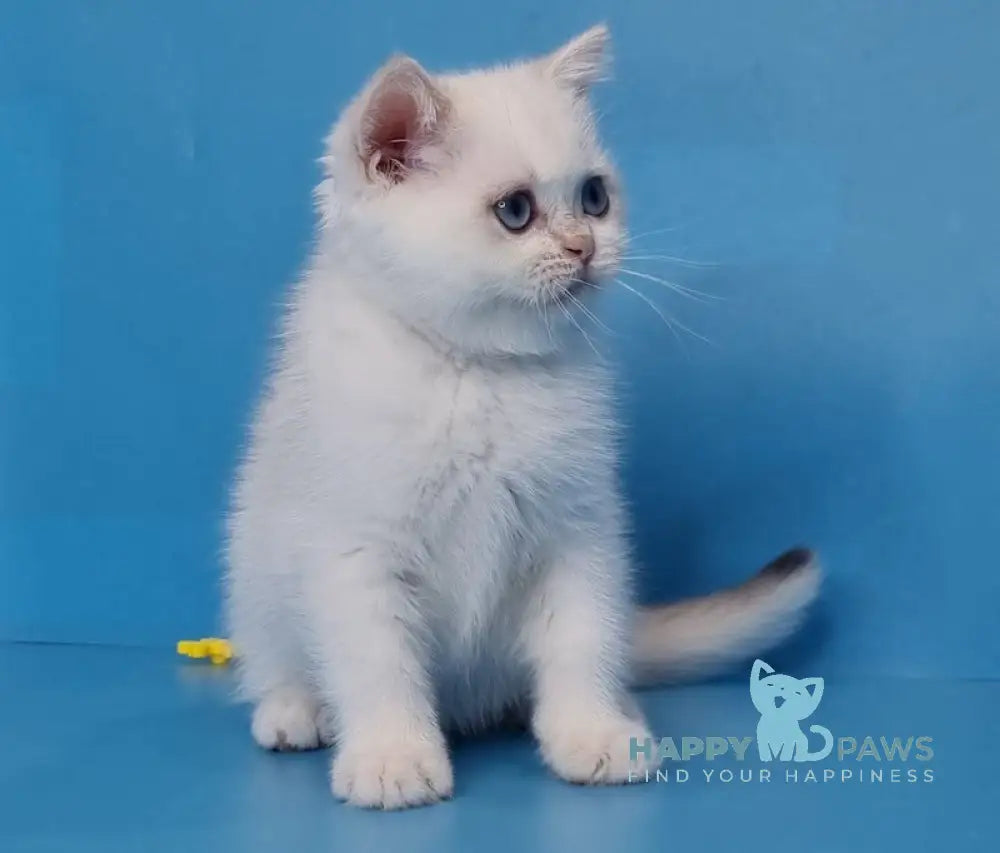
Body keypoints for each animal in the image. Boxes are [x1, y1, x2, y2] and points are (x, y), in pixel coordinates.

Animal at [227, 26, 820, 808]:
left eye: (594, 197)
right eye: (516, 210)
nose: (586, 248)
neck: (480, 372)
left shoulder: (577, 531)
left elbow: (581, 639)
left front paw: (590, 732)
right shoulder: (355, 547)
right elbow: (377, 661)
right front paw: (393, 754)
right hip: (254, 567)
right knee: (276, 656)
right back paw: (296, 708)